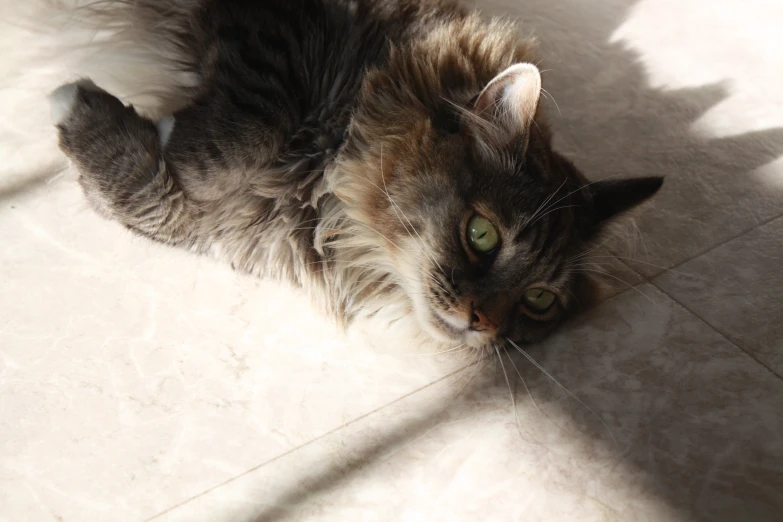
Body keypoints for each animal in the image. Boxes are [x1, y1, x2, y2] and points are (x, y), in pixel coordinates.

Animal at [49, 1, 660, 350]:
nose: (482, 323)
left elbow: (153, 203)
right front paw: (151, 120)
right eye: (481, 234)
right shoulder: (272, 38)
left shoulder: (237, 224)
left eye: (538, 300)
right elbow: (227, 147)